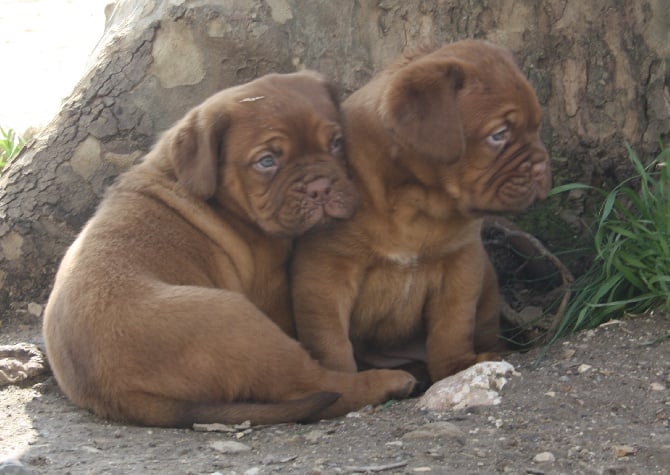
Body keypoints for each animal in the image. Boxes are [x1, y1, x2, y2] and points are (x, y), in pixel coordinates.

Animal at [43, 69, 414, 428]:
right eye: (266, 162)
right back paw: (388, 381)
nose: (320, 187)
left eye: (337, 143)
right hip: (242, 323)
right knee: (319, 386)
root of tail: (114, 394)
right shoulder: (272, 288)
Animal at [292, 40, 552, 384]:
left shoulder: (461, 261)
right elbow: (329, 339)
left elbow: (452, 323)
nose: (541, 166)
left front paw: (456, 366)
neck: (414, 202)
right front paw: (345, 381)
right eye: (499, 135)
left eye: (538, 125)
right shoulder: (324, 274)